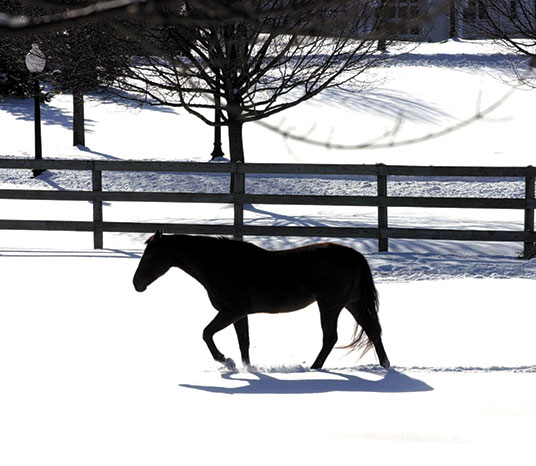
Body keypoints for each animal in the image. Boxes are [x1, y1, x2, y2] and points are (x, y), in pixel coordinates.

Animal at [131, 231, 390, 370]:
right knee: (372, 330)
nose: (136, 283)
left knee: (331, 337)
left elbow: (206, 333)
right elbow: (243, 342)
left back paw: (314, 369)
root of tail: (355, 255)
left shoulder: (231, 311)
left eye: (151, 254)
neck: (221, 264)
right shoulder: (239, 314)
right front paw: (247, 368)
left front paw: (224, 360)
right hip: (351, 303)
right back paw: (386, 365)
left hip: (330, 305)